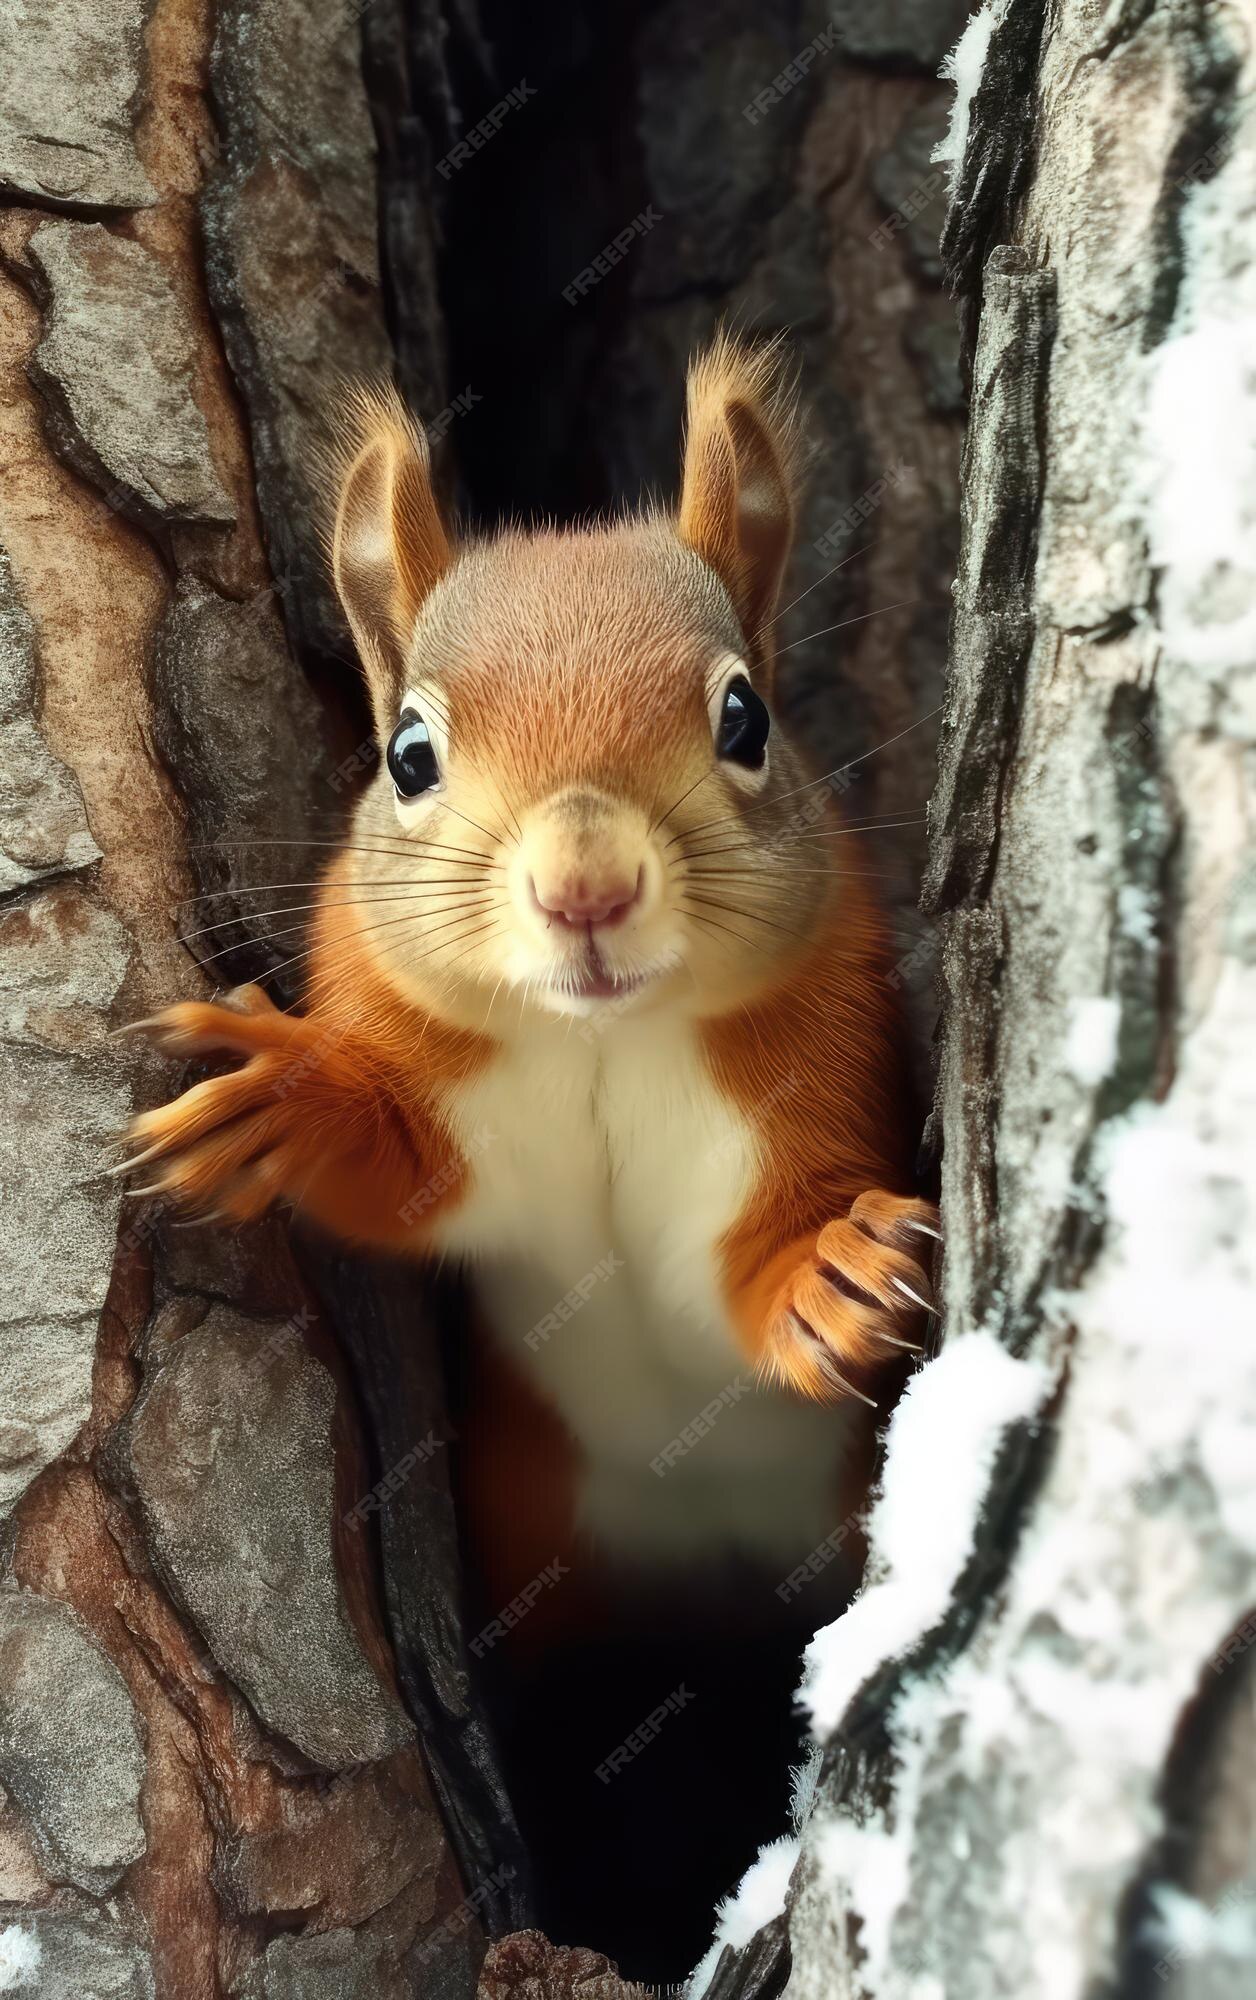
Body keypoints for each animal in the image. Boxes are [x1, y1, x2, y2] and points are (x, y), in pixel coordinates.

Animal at [127, 332, 936, 1656]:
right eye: (408, 754)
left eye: (746, 717)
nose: (584, 888)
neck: (599, 1043)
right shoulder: (458, 1118)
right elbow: (395, 1174)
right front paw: (280, 1098)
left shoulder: (799, 1087)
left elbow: (754, 1253)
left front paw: (836, 1271)